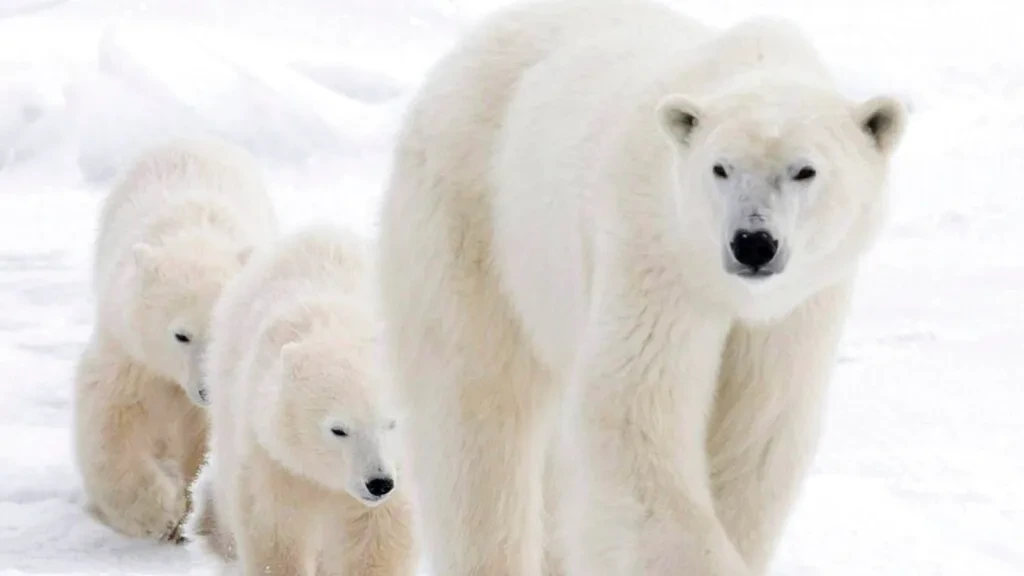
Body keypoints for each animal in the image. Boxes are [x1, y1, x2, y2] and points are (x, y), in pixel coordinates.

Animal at [73, 138, 279, 542]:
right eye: (181, 334)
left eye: (220, 331)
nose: (205, 391)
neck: (193, 237)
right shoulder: (129, 348)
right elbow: (110, 414)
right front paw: (158, 513)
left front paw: (184, 510)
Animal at [191, 225, 418, 576]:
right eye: (338, 429)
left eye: (391, 423)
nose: (378, 482)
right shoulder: (276, 456)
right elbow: (275, 527)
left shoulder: (399, 470)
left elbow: (376, 538)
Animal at [375, 1, 909, 575]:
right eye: (720, 168)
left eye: (804, 170)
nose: (753, 243)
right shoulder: (656, 252)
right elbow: (634, 417)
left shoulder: (799, 306)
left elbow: (761, 433)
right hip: (477, 220)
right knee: (478, 416)